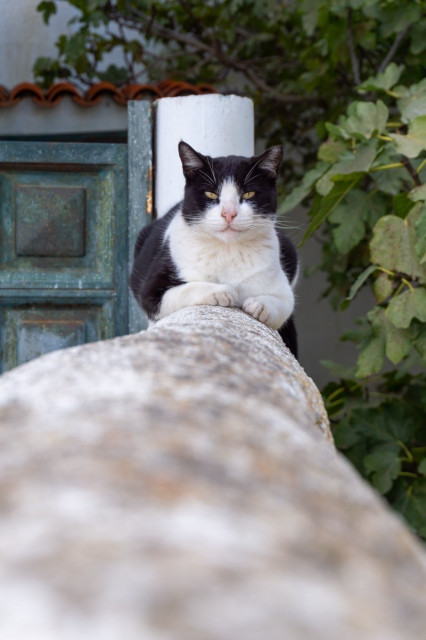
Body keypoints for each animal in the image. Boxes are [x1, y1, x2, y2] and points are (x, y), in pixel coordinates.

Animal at [130, 141, 300, 360]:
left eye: (248, 194)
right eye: (211, 194)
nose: (229, 213)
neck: (227, 250)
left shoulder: (282, 290)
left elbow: (284, 303)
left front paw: (259, 305)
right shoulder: (152, 291)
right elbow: (184, 290)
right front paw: (222, 291)